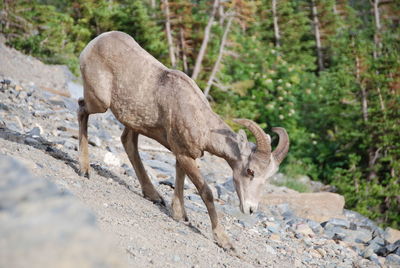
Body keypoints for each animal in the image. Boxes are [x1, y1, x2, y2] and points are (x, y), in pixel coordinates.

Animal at [78, 30, 290, 249]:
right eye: (250, 171)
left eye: (267, 177)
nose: (250, 209)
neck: (201, 122)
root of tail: (97, 41)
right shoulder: (184, 155)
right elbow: (206, 192)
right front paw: (224, 241)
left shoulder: (182, 155)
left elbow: (179, 179)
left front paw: (179, 215)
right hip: (100, 102)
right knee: (81, 109)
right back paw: (84, 169)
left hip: (133, 122)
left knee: (128, 142)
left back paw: (154, 195)